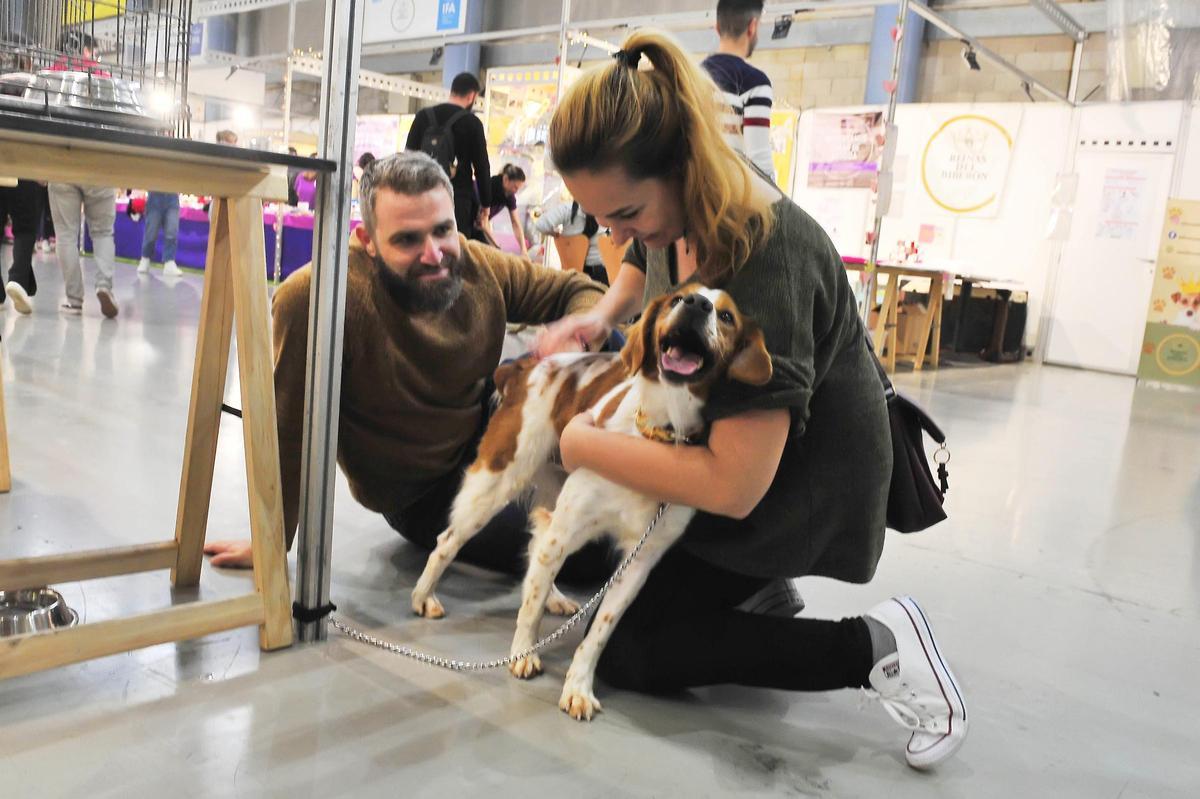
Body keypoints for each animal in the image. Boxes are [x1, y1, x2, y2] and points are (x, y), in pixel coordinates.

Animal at [408, 284, 772, 715]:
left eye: (727, 316)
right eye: (676, 299)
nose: (696, 305)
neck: (656, 437)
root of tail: (526, 366)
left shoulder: (638, 563)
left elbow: (599, 631)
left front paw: (579, 685)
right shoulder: (567, 529)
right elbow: (528, 608)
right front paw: (523, 653)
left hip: (553, 495)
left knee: (535, 550)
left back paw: (553, 597)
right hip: (499, 481)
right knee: (448, 542)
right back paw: (423, 597)